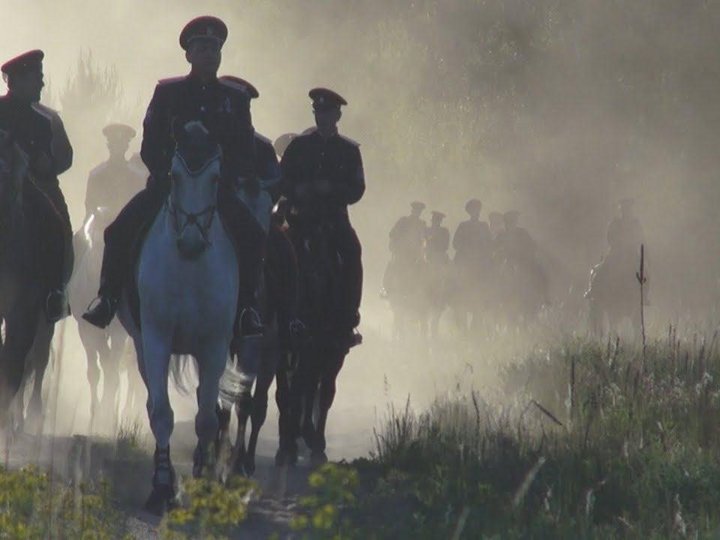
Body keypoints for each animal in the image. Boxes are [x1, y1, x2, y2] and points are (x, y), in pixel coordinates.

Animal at [119, 122, 239, 516]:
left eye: (216, 178)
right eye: (173, 175)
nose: (189, 242)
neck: (189, 268)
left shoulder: (214, 346)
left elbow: (206, 418)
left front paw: (205, 484)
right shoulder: (156, 341)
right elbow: (161, 414)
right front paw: (161, 486)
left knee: (207, 404)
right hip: (142, 347)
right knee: (154, 404)